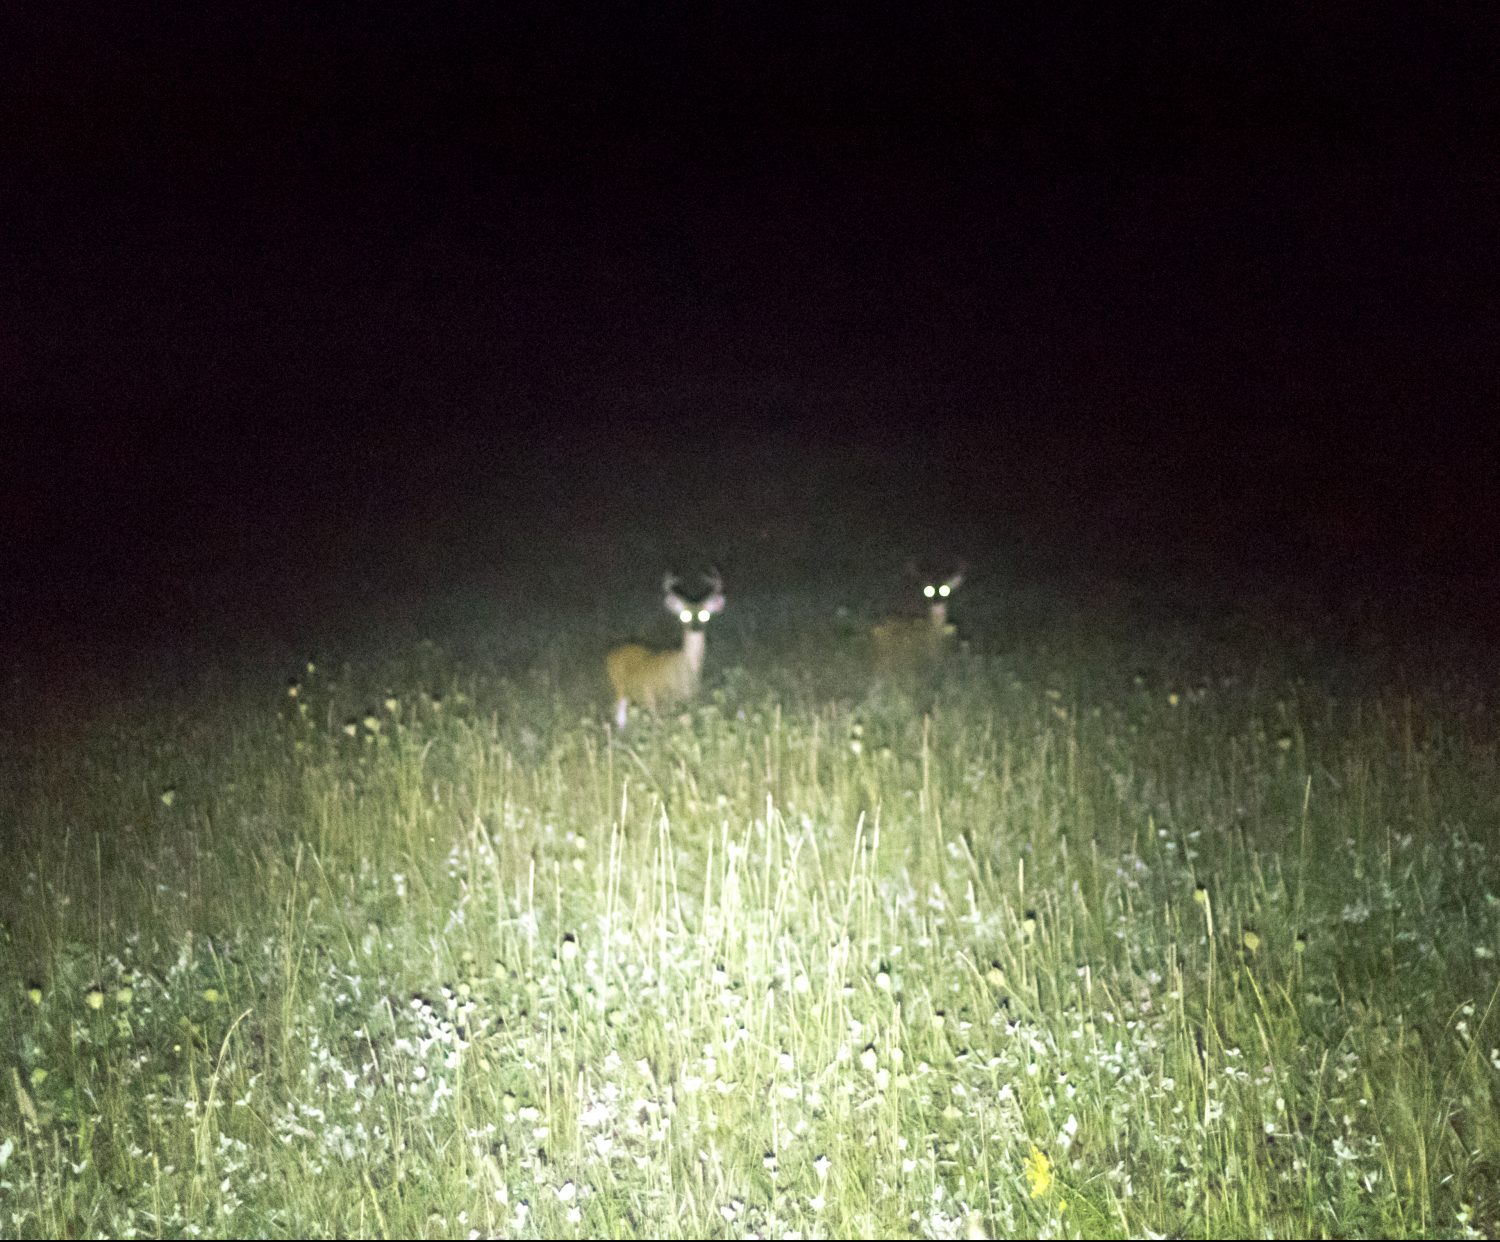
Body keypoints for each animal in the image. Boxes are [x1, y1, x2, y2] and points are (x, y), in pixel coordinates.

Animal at [606, 573, 729, 729]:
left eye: (705, 614)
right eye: (685, 615)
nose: (695, 627)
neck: (687, 667)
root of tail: (613, 652)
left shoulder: (690, 699)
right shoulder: (662, 698)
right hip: (619, 686)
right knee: (620, 712)